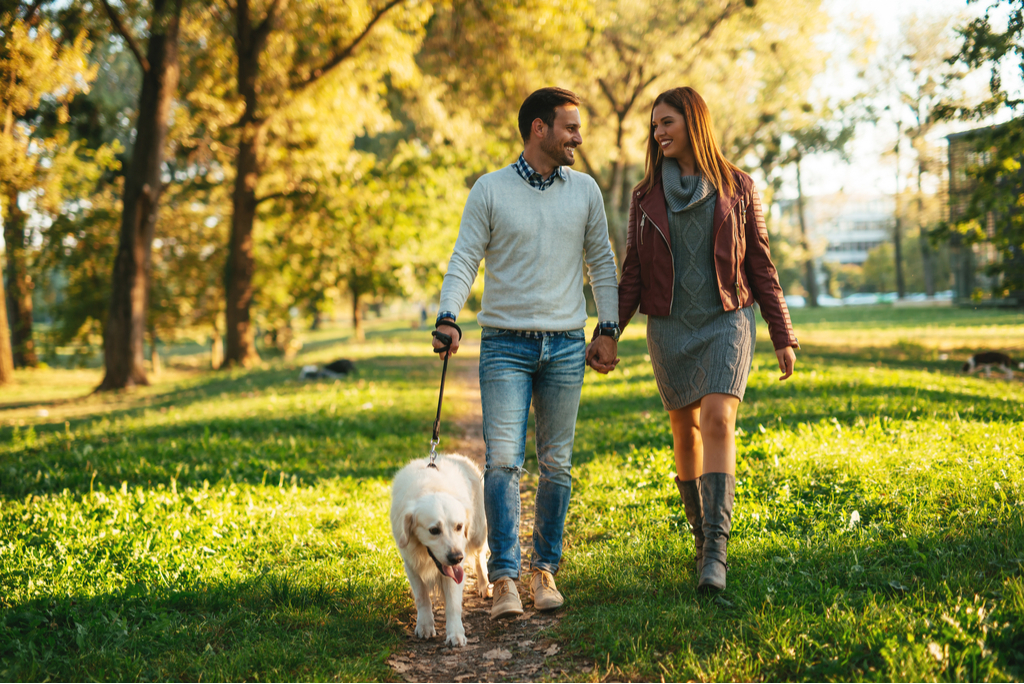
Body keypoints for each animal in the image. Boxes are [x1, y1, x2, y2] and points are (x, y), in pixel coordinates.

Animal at [389, 454, 489, 647]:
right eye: (434, 530)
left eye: (459, 526)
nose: (456, 557)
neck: (431, 488)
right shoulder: (411, 564)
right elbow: (422, 597)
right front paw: (425, 625)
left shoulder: (455, 570)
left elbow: (453, 604)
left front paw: (455, 633)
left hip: (478, 533)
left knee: (480, 557)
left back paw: (484, 585)